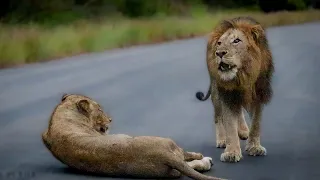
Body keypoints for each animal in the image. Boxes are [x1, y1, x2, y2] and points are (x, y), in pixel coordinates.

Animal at [42, 93, 225, 179]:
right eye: (100, 109)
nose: (110, 119)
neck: (58, 116)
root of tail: (161, 154)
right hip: (170, 143)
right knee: (188, 159)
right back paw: (205, 160)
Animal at [195, 16, 276, 163]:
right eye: (219, 43)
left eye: (237, 41)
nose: (219, 53)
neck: (243, 76)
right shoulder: (227, 95)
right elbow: (230, 125)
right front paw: (231, 152)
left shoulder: (259, 95)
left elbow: (256, 122)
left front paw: (255, 147)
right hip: (216, 94)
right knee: (218, 117)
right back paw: (222, 139)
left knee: (239, 112)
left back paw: (243, 131)